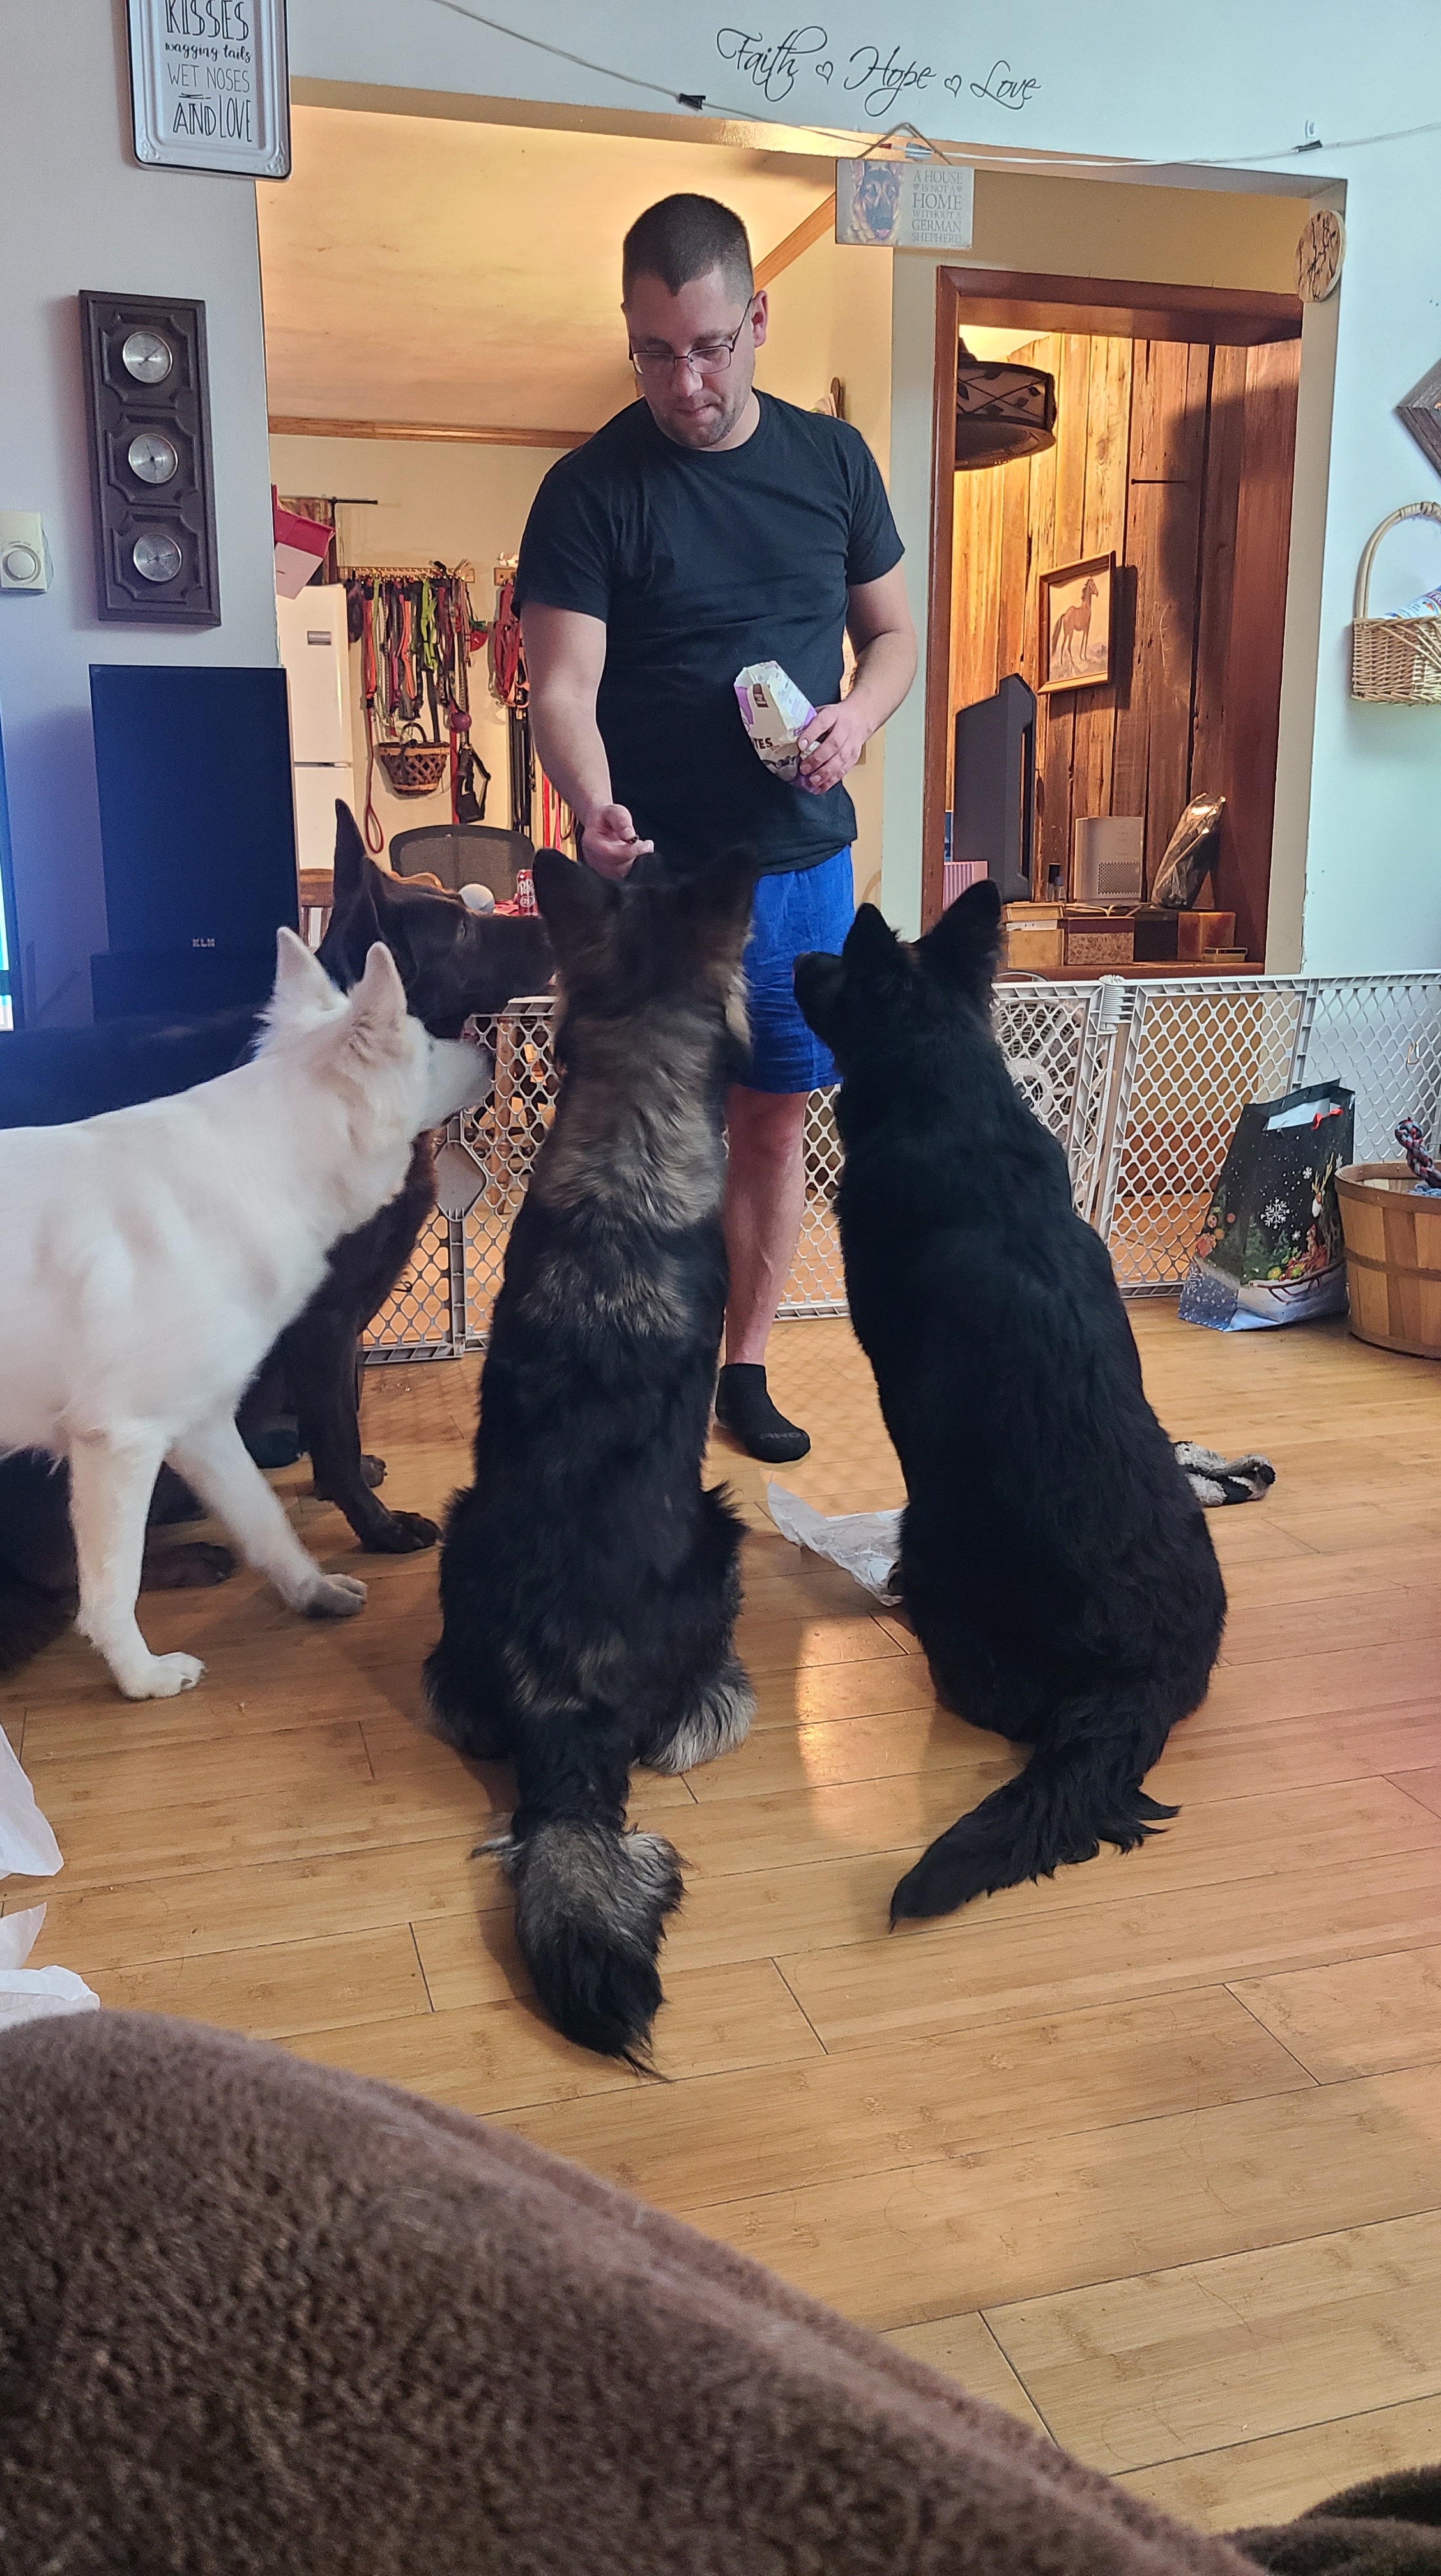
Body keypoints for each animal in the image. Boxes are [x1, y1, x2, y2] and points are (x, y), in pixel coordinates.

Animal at [0, 806, 553, 1673]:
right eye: (464, 926)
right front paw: (377, 1527)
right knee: (72, 1571)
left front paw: (343, 1484)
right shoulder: (321, 1321)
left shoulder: (341, 1322)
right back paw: (186, 1558)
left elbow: (345, 1416)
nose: (562, 908)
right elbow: (335, 1425)